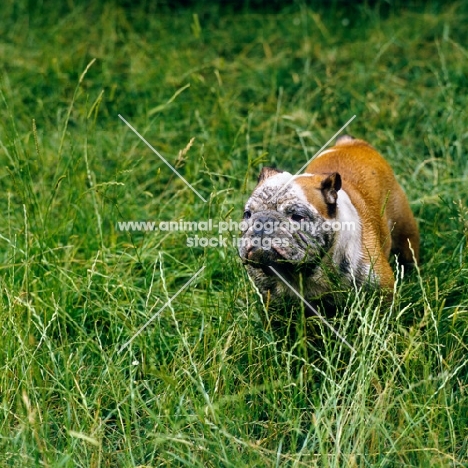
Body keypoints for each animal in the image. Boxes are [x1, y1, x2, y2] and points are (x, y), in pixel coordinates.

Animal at [239, 135, 418, 308]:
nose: (263, 221)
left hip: (404, 233)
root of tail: (351, 143)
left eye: (297, 216)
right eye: (247, 214)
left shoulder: (381, 291)